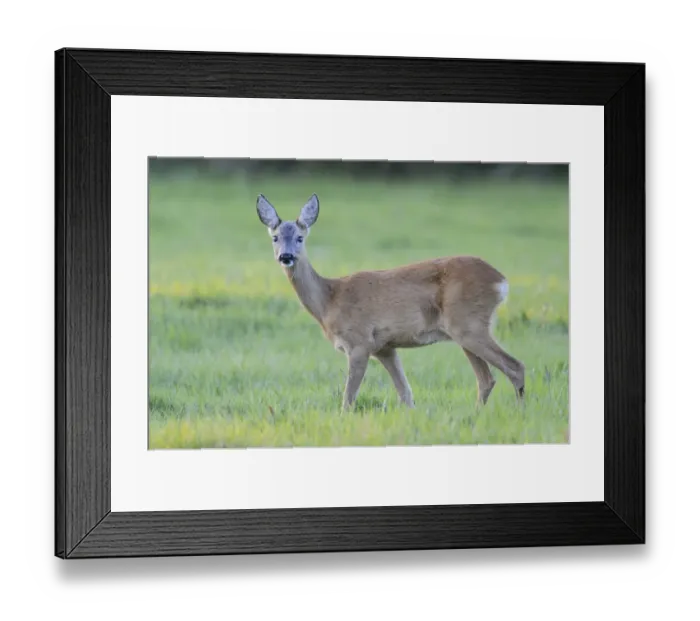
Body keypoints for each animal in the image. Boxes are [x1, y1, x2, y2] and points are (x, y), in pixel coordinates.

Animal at [256, 193, 525, 412]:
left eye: (300, 237)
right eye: (275, 238)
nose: (286, 256)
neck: (329, 300)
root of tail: (501, 280)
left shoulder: (359, 342)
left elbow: (348, 399)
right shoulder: (384, 347)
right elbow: (405, 394)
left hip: (468, 324)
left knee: (515, 366)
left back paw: (519, 412)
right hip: (464, 330)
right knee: (487, 379)